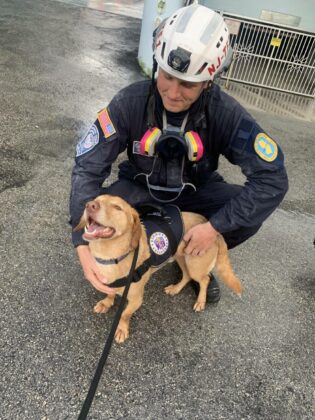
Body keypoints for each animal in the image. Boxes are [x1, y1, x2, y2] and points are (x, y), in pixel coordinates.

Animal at [76, 195, 242, 342]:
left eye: (117, 207)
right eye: (96, 199)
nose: (90, 205)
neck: (110, 257)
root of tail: (213, 229)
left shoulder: (136, 300)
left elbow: (124, 314)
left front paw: (122, 329)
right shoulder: (108, 284)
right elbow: (110, 294)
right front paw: (106, 303)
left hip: (195, 264)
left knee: (204, 279)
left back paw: (201, 301)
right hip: (181, 258)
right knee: (187, 276)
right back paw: (175, 289)